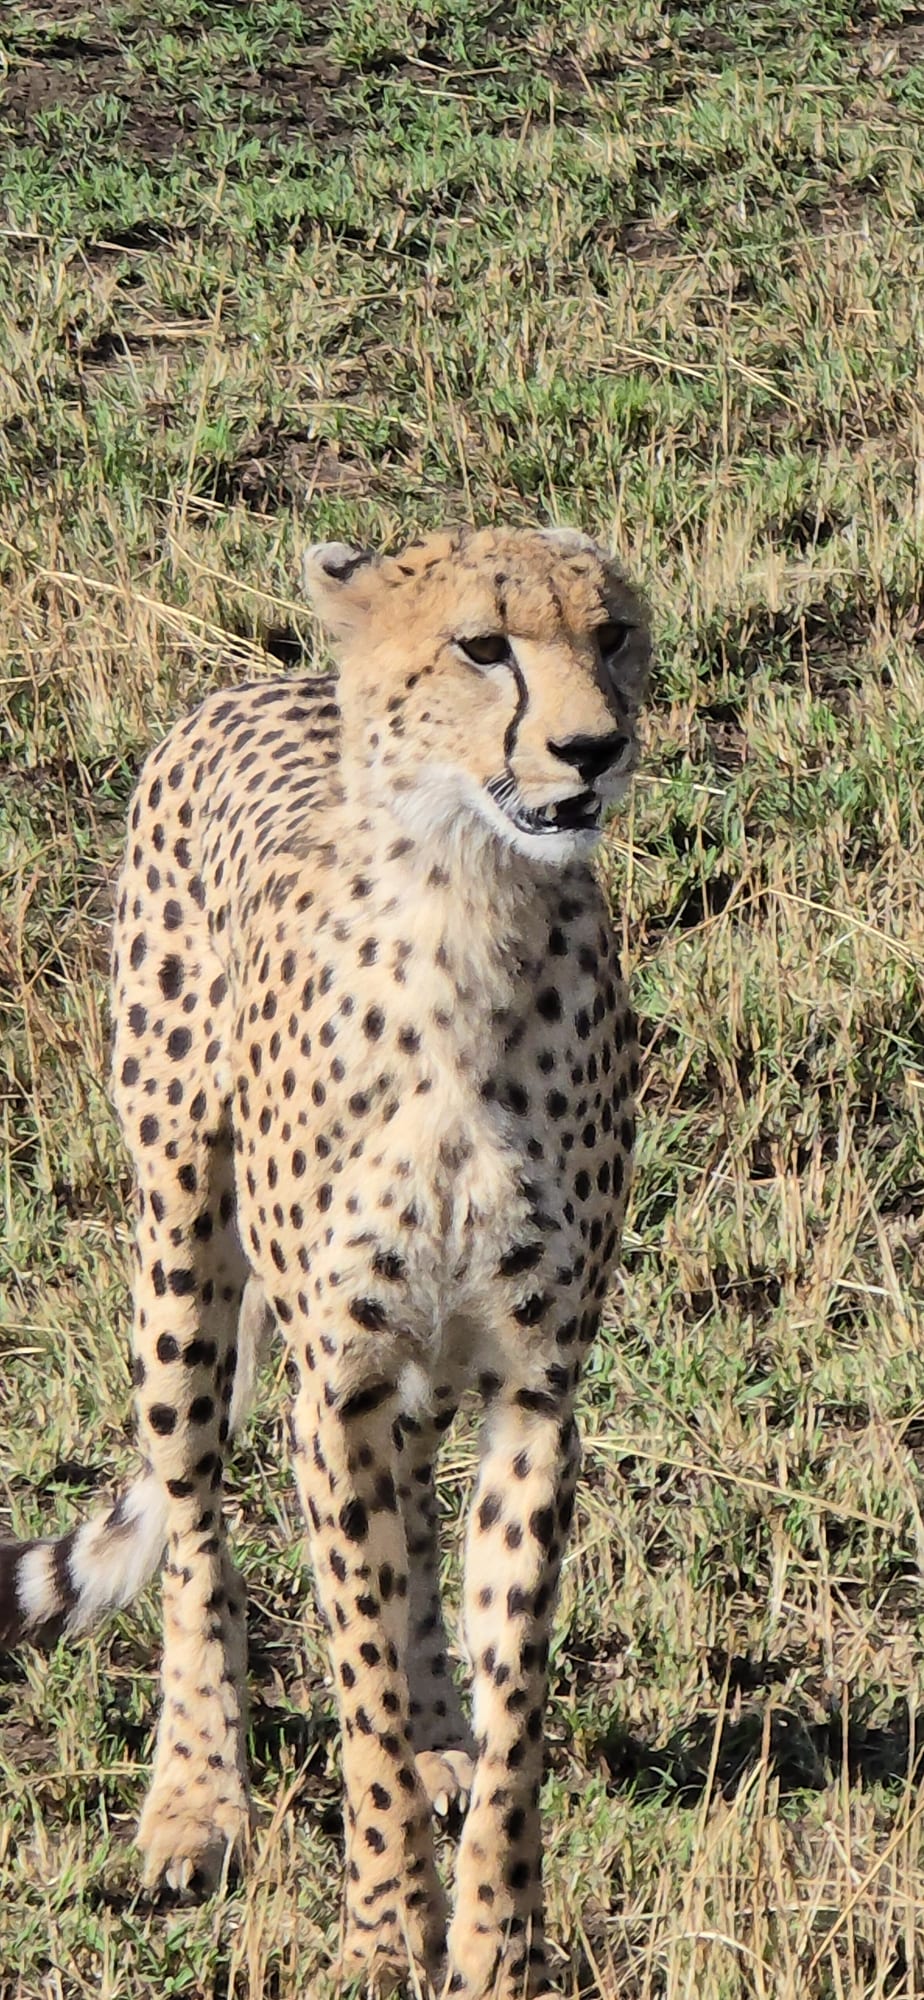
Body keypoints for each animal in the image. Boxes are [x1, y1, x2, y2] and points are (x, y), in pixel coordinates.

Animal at [0, 523, 650, 1997]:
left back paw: (438, 1735)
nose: (593, 747)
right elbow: (351, 1667)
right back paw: (196, 1802)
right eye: (484, 645)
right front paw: (382, 1927)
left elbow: (513, 1677)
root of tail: (266, 681)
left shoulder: (536, 1388)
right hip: (180, 1247)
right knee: (196, 1522)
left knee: (415, 1513)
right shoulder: (331, 1385)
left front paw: (498, 1938)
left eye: (616, 634)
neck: (471, 908)